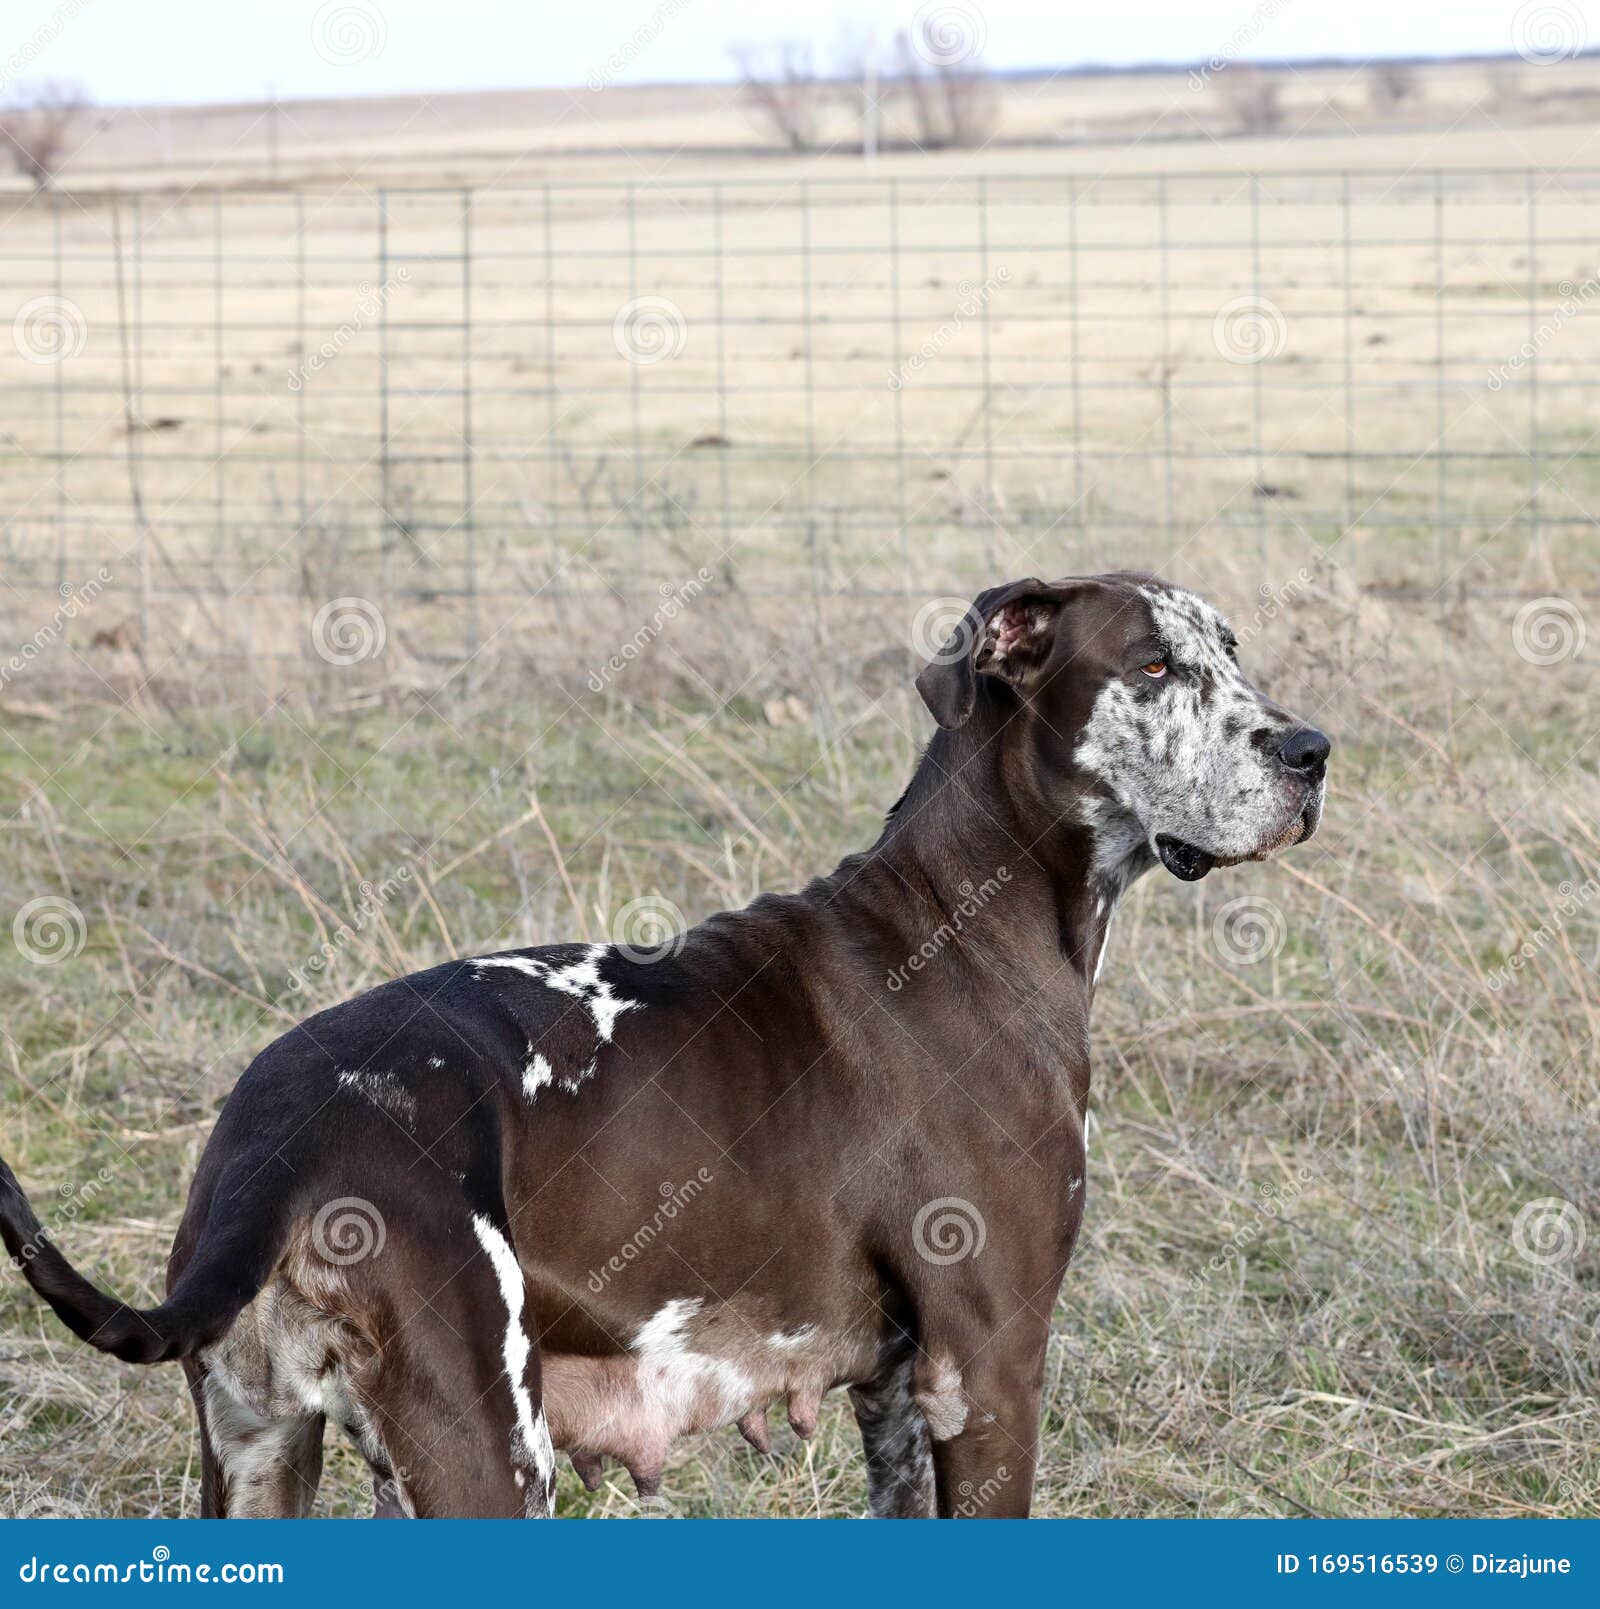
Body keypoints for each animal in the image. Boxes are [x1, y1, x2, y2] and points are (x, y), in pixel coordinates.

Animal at [0, 572, 1319, 1512]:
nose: (1310, 751)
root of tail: (281, 1127)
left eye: (1233, 652)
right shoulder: (988, 1364)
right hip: (487, 1450)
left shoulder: (900, 1394)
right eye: (1152, 665)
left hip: (262, 1453)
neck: (967, 918)